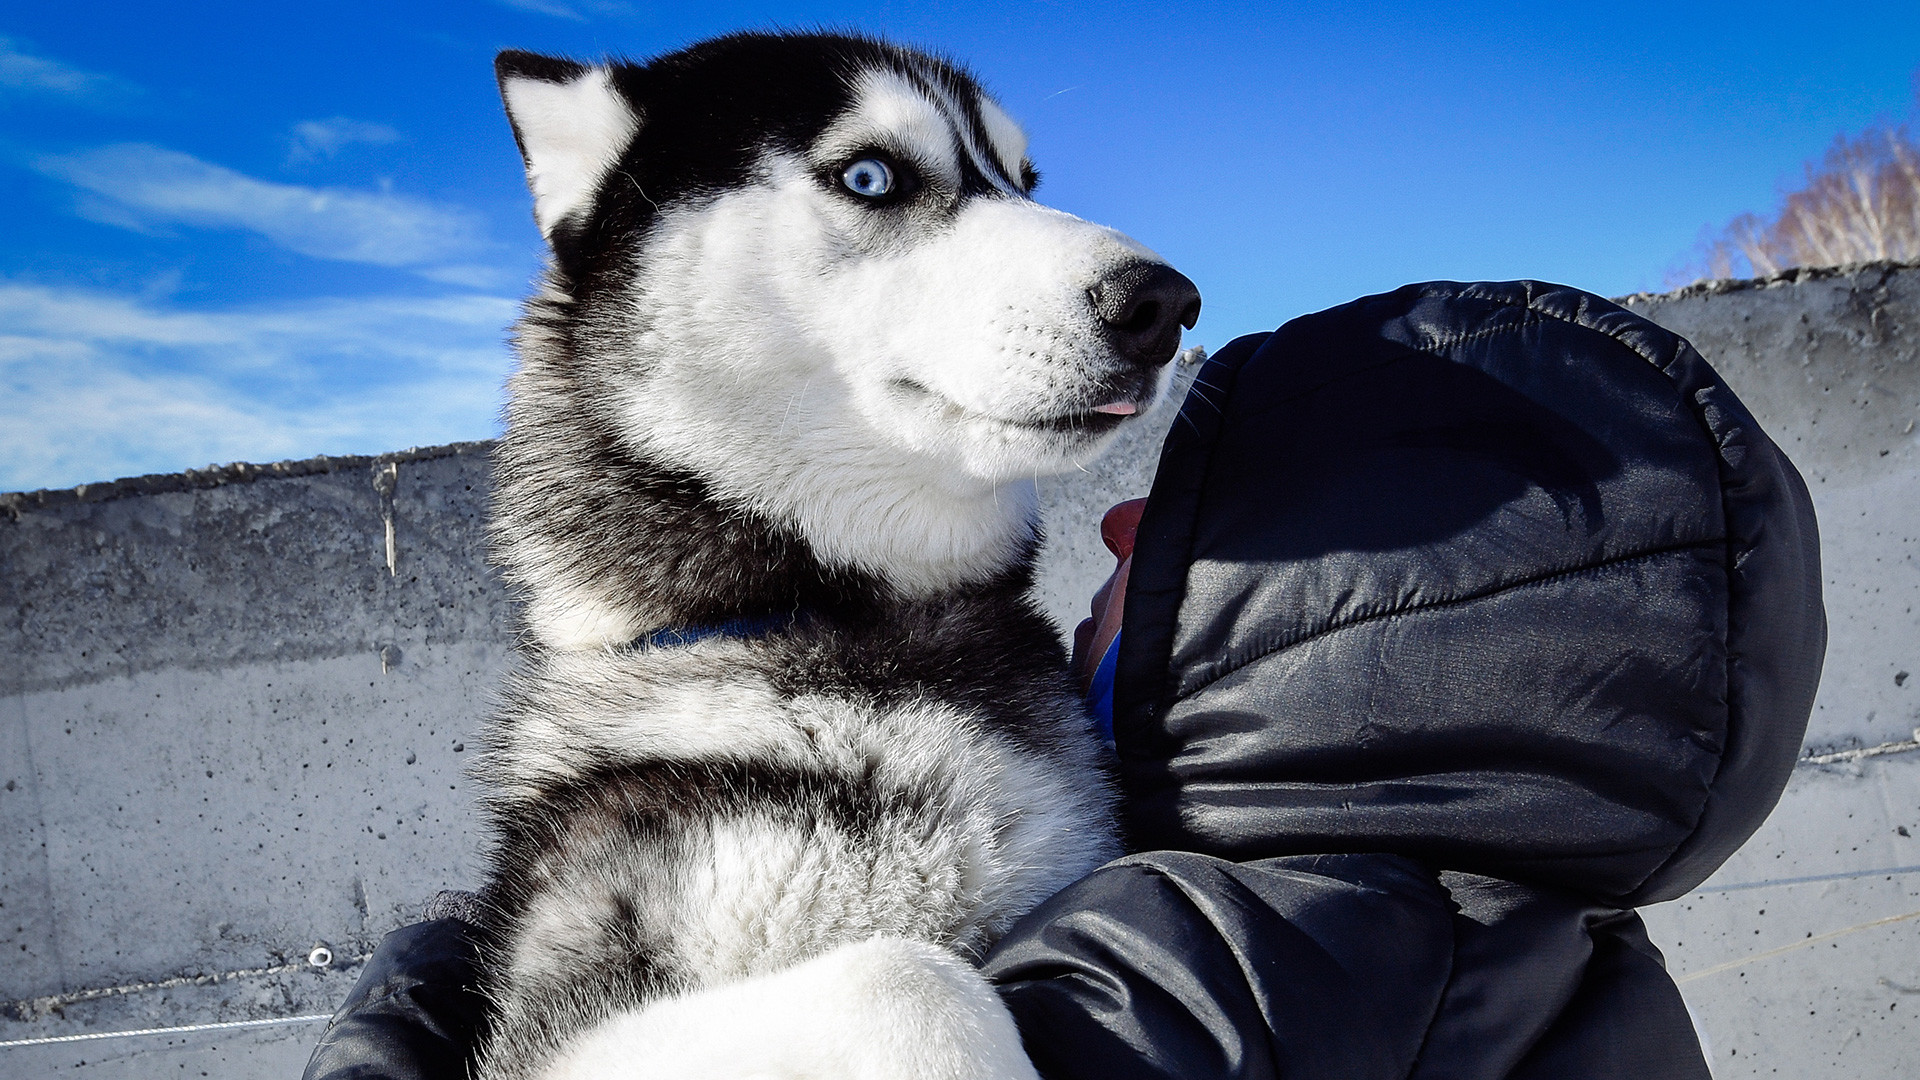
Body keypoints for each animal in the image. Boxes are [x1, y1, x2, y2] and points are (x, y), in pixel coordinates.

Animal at [476, 33, 1198, 1076]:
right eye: (871, 176)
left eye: (1024, 181)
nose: (1165, 303)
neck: (843, 620)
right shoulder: (562, 1025)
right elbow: (907, 976)